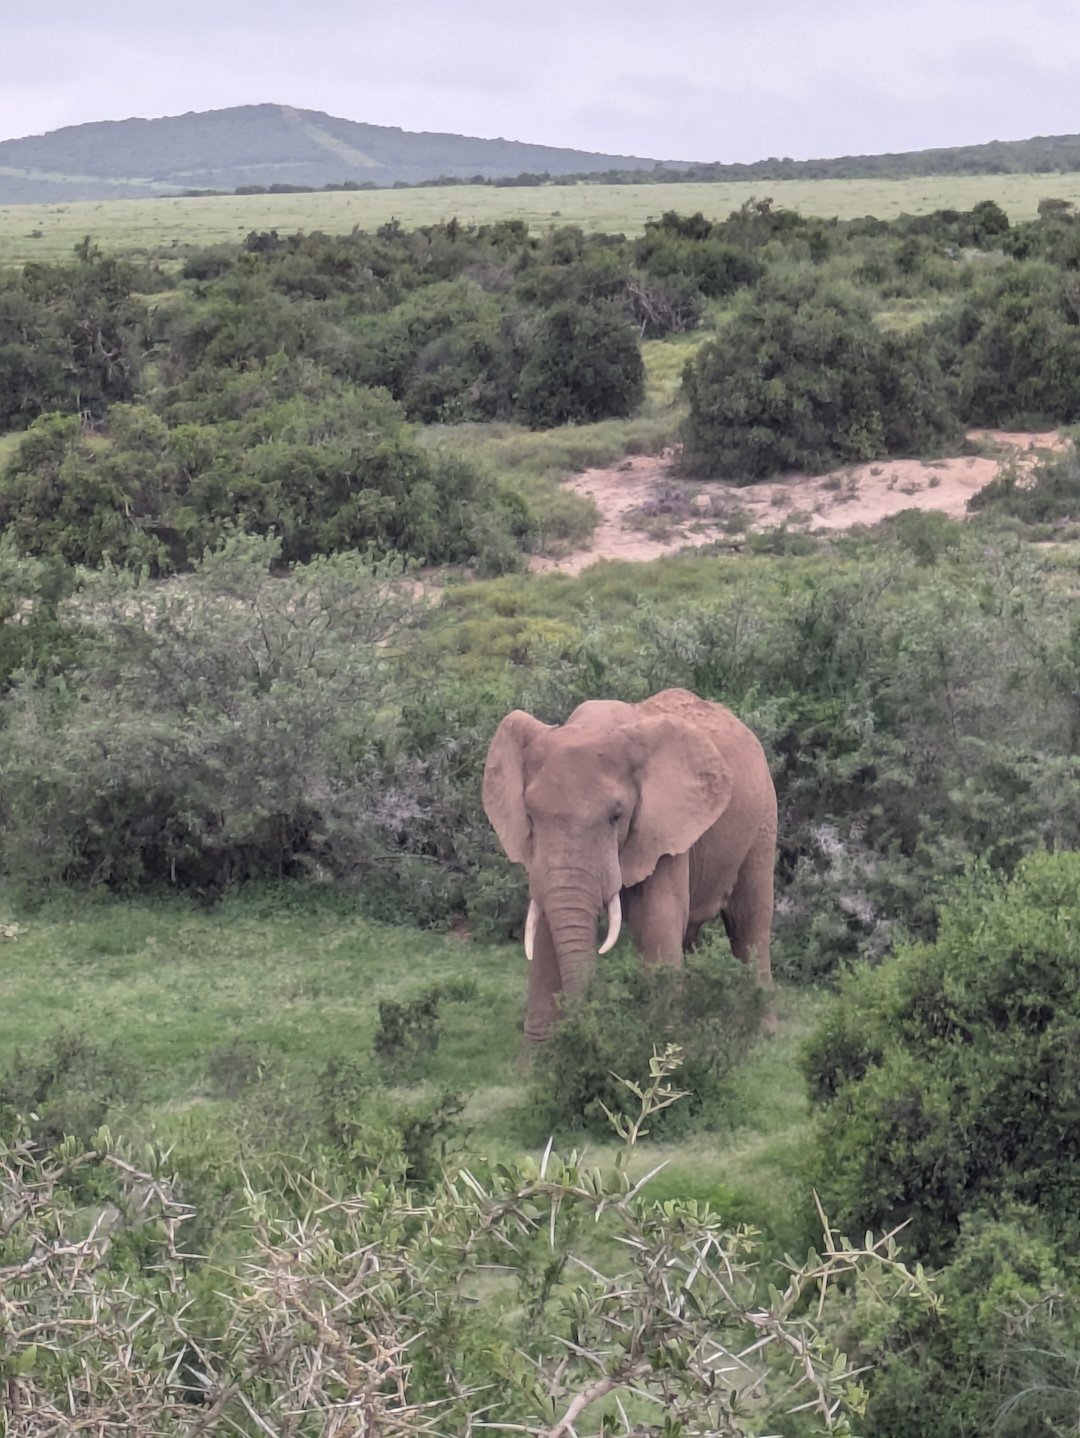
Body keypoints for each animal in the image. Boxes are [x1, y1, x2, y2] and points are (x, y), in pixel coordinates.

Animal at [482, 687, 777, 1043]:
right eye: (530, 816)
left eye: (617, 816)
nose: (586, 1025)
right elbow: (544, 930)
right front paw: (538, 1056)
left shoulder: (663, 829)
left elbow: (656, 923)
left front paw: (662, 1048)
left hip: (763, 816)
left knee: (749, 921)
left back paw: (761, 1032)